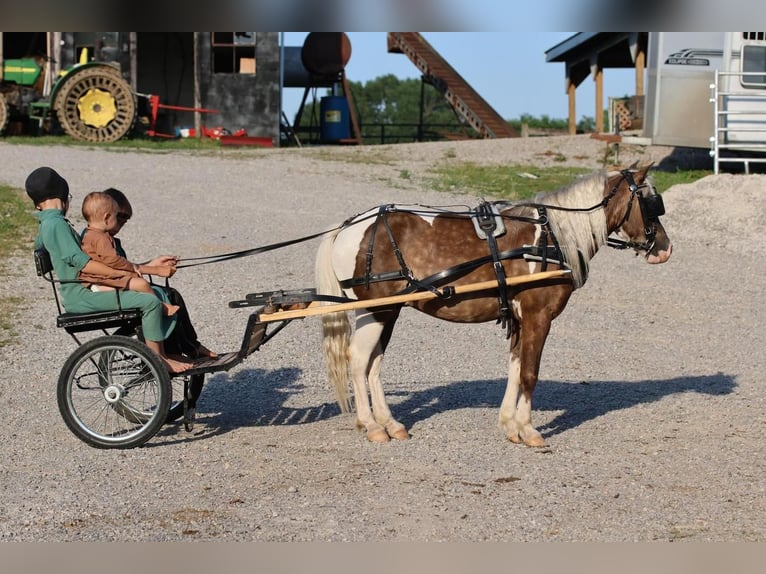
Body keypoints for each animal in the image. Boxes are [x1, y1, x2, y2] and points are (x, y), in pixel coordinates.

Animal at [312, 164, 672, 448]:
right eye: (650, 202)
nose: (665, 248)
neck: (551, 238)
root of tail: (350, 226)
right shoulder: (539, 316)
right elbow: (529, 373)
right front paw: (528, 429)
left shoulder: (520, 317)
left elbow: (515, 367)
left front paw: (510, 424)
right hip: (375, 310)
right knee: (358, 361)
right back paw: (372, 425)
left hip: (387, 311)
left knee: (373, 364)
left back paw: (389, 423)